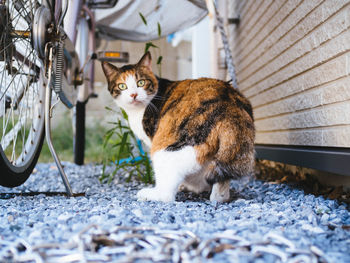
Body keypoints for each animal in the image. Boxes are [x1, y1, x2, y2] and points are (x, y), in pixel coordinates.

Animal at [101, 52, 254, 204]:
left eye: (141, 82)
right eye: (122, 86)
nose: (133, 95)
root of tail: (229, 104)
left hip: (167, 148)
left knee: (167, 192)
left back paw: (151, 194)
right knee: (220, 178)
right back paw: (218, 196)